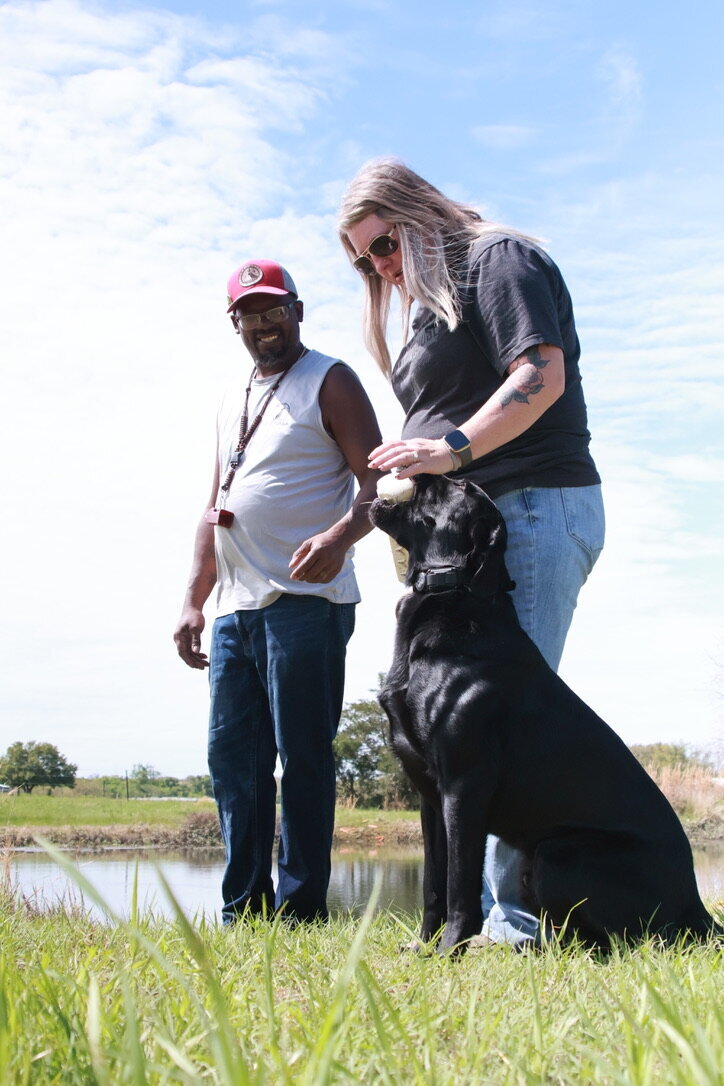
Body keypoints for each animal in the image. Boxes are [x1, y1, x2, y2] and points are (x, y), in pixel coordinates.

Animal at [371, 475, 720, 951]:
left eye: (460, 485)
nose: (424, 471)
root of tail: (698, 906)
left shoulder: (463, 786)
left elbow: (460, 888)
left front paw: (448, 953)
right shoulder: (429, 794)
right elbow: (433, 886)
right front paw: (423, 949)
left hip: (556, 852)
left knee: (628, 942)